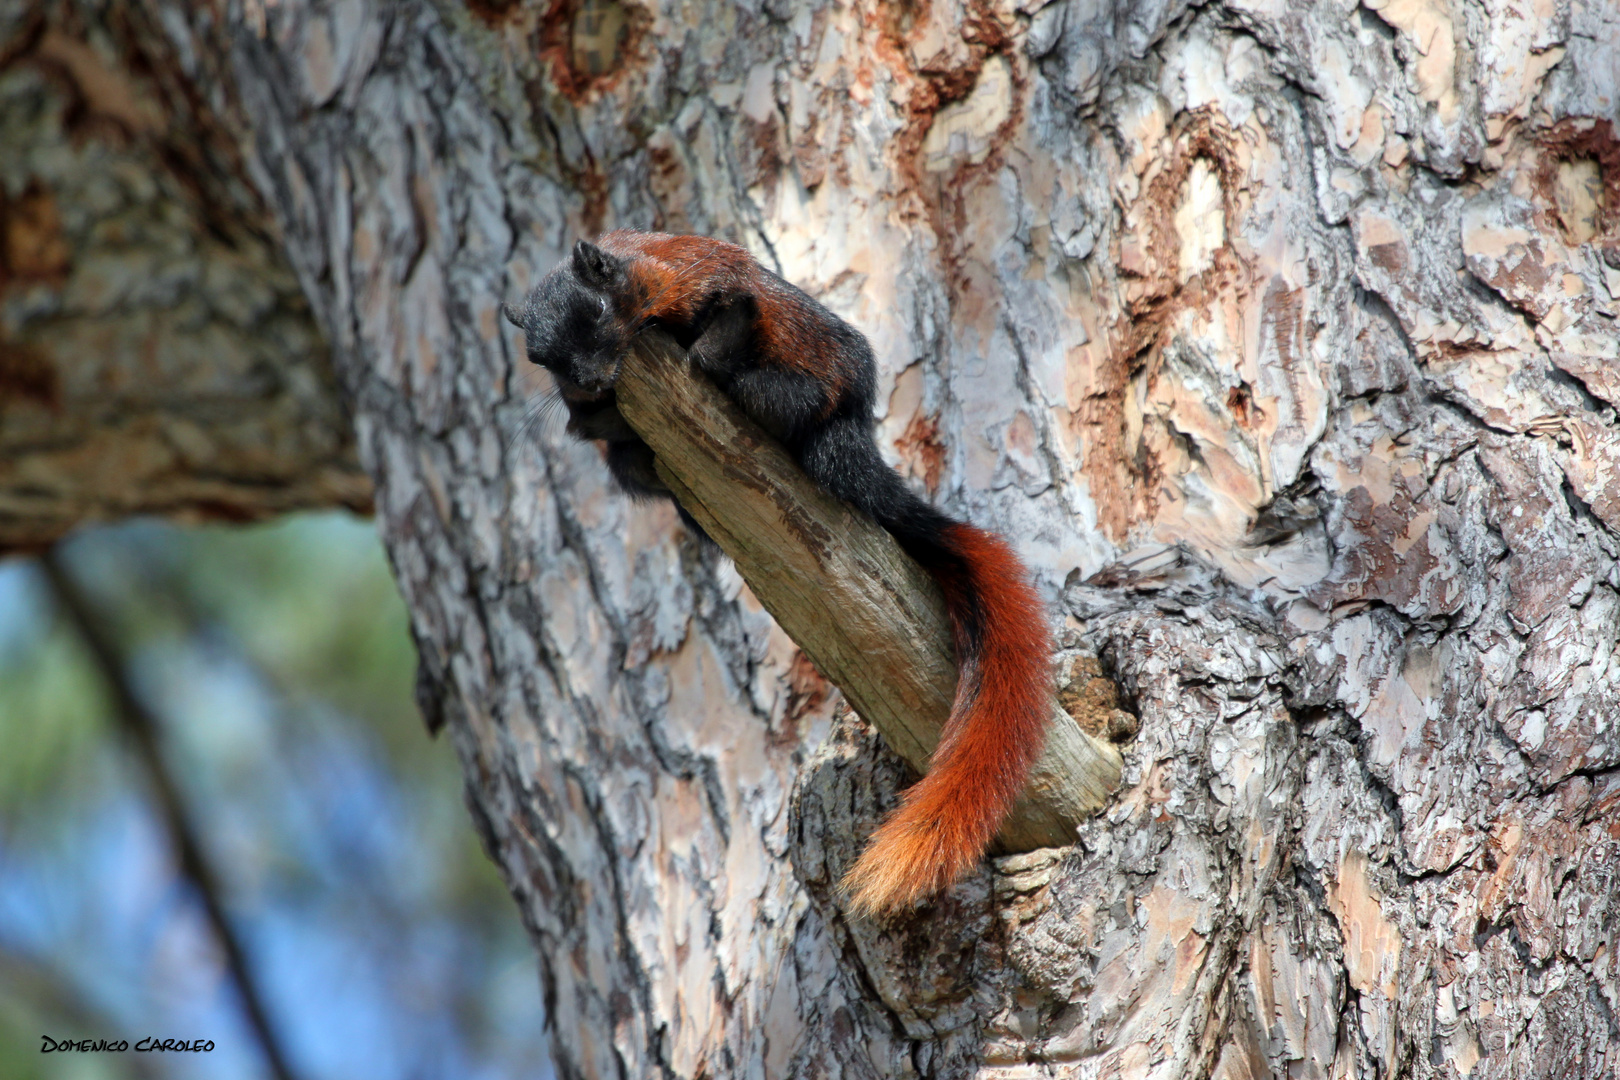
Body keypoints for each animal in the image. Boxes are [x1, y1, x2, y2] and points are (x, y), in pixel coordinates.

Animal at [511, 233, 1056, 919]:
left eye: (599, 312)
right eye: (541, 360)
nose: (584, 383)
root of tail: (853, 444)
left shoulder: (689, 280)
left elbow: (715, 309)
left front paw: (703, 336)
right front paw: (590, 414)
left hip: (809, 386)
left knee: (770, 392)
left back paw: (724, 360)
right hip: (648, 468)